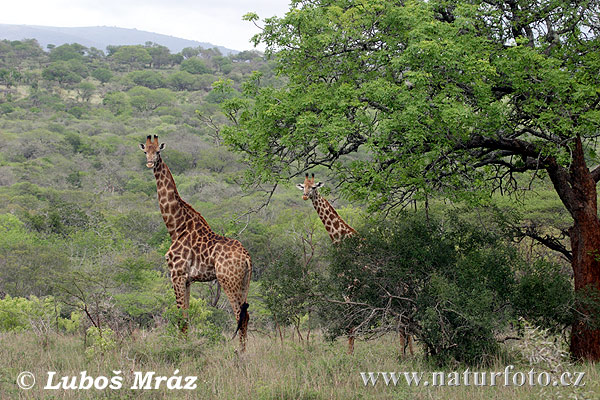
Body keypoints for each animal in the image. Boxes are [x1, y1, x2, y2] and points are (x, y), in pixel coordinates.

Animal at [139, 134, 252, 350]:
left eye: (157, 151)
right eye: (145, 151)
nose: (149, 162)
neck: (176, 227)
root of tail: (247, 258)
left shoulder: (176, 274)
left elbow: (180, 318)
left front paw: (181, 349)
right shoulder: (188, 279)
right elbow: (187, 316)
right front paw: (186, 345)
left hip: (229, 281)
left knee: (239, 315)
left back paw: (239, 353)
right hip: (243, 282)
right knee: (246, 315)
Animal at [296, 173, 412, 354]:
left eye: (314, 187)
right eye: (303, 186)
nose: (305, 196)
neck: (341, 240)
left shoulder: (351, 287)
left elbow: (350, 324)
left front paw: (349, 356)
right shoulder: (346, 289)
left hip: (401, 291)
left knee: (405, 321)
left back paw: (406, 354)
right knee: (406, 322)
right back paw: (409, 354)